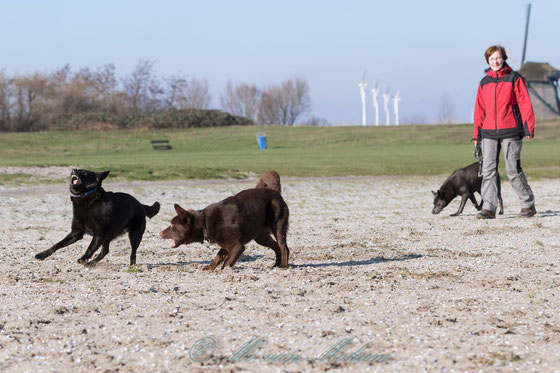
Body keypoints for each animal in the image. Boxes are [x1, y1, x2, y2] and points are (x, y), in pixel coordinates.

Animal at [158, 187, 288, 268]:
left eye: (172, 225)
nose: (159, 233)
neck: (204, 223)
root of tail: (278, 195)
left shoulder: (237, 246)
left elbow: (226, 263)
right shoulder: (225, 245)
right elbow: (217, 258)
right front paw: (209, 268)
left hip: (277, 224)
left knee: (283, 247)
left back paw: (283, 266)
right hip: (260, 236)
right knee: (276, 246)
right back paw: (276, 265)